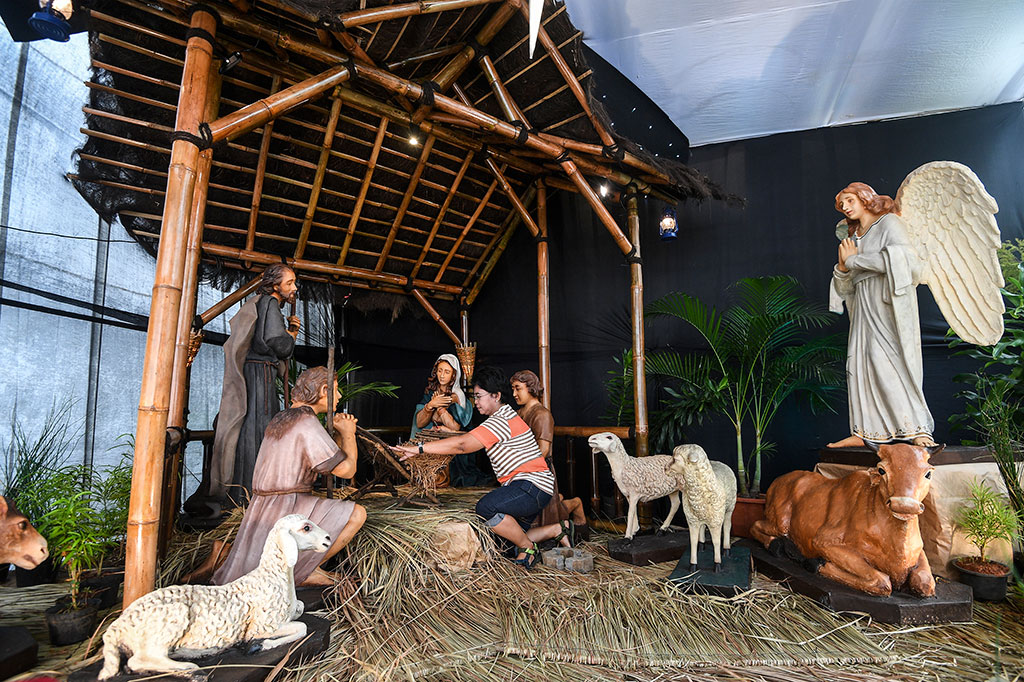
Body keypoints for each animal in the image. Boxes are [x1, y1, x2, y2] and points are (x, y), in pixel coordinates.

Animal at [98, 512, 329, 675]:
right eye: (306, 527)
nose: (328, 538)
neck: (274, 577)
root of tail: (118, 626)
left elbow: (301, 614)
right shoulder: (262, 626)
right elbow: (302, 627)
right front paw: (259, 646)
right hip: (170, 619)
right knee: (138, 660)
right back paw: (188, 667)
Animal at [667, 440, 733, 569]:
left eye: (675, 459)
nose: (665, 468)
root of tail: (719, 462)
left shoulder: (715, 522)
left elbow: (716, 542)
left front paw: (717, 564)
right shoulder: (692, 520)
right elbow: (692, 541)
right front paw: (693, 565)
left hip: (729, 509)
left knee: (727, 526)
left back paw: (726, 550)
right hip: (702, 517)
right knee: (702, 527)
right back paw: (701, 545)